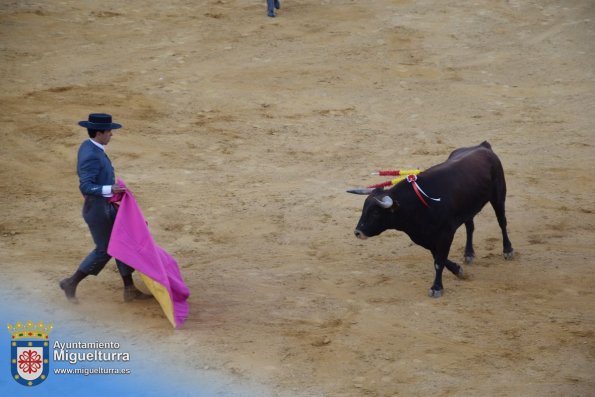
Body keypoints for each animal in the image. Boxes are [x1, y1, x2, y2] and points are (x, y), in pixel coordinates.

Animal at [350, 141, 512, 296]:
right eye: (364, 209)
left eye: (376, 213)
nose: (357, 232)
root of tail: (483, 146)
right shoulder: (423, 237)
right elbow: (438, 257)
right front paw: (458, 270)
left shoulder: (446, 234)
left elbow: (439, 261)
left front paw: (437, 288)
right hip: (468, 207)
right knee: (470, 227)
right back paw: (469, 254)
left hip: (498, 196)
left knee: (502, 222)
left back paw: (508, 250)